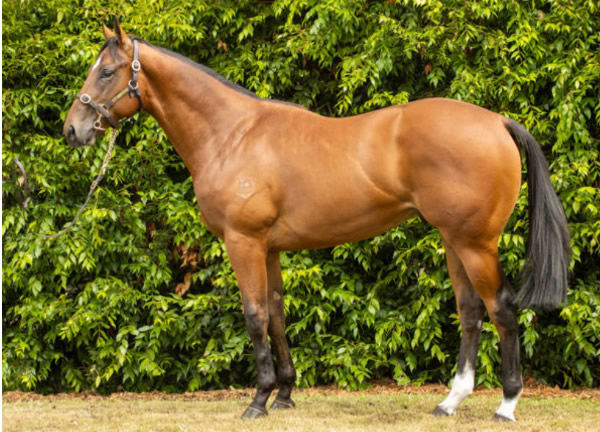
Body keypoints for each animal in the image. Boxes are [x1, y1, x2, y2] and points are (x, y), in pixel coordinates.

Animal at [63, 20, 568, 422]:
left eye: (106, 71)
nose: (72, 129)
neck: (232, 134)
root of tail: (497, 122)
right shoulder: (269, 248)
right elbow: (277, 315)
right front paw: (284, 394)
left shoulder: (243, 242)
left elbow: (254, 316)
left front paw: (258, 400)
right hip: (453, 241)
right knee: (469, 312)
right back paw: (450, 402)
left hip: (474, 243)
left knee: (501, 308)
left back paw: (506, 404)